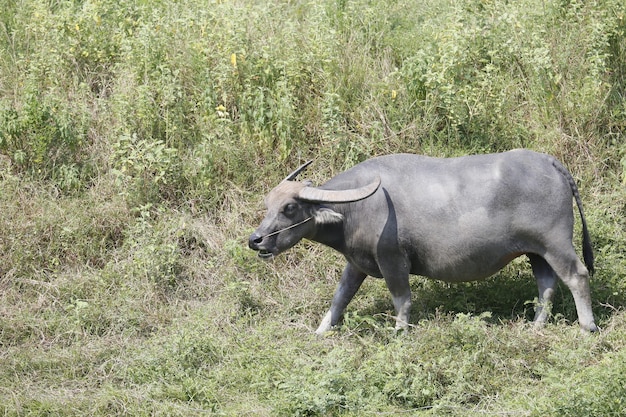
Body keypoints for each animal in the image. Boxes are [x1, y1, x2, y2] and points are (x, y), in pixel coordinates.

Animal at [247, 151, 596, 334]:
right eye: (267, 204)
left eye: (289, 208)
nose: (256, 240)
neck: (356, 208)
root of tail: (550, 162)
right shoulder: (355, 262)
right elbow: (340, 297)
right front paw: (322, 331)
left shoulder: (392, 260)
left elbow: (401, 299)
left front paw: (399, 332)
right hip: (536, 251)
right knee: (546, 284)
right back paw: (536, 325)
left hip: (555, 243)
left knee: (576, 276)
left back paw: (587, 327)